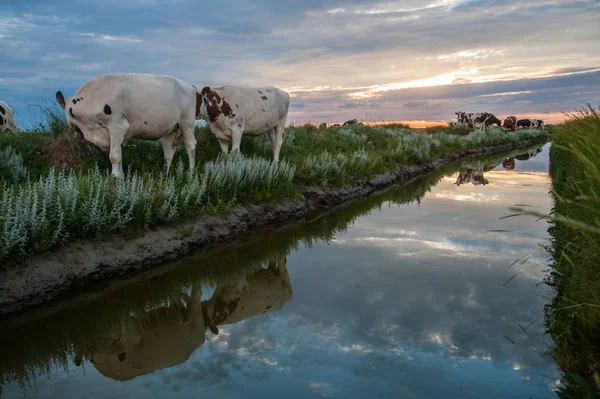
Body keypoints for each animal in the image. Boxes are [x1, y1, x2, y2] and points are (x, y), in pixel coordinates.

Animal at [55, 73, 199, 177]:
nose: (77, 134)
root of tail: (190, 86)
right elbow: (119, 155)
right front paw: (121, 177)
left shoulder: (117, 126)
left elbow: (114, 156)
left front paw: (114, 178)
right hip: (170, 128)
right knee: (169, 150)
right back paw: (164, 175)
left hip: (187, 122)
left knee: (190, 145)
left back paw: (191, 174)